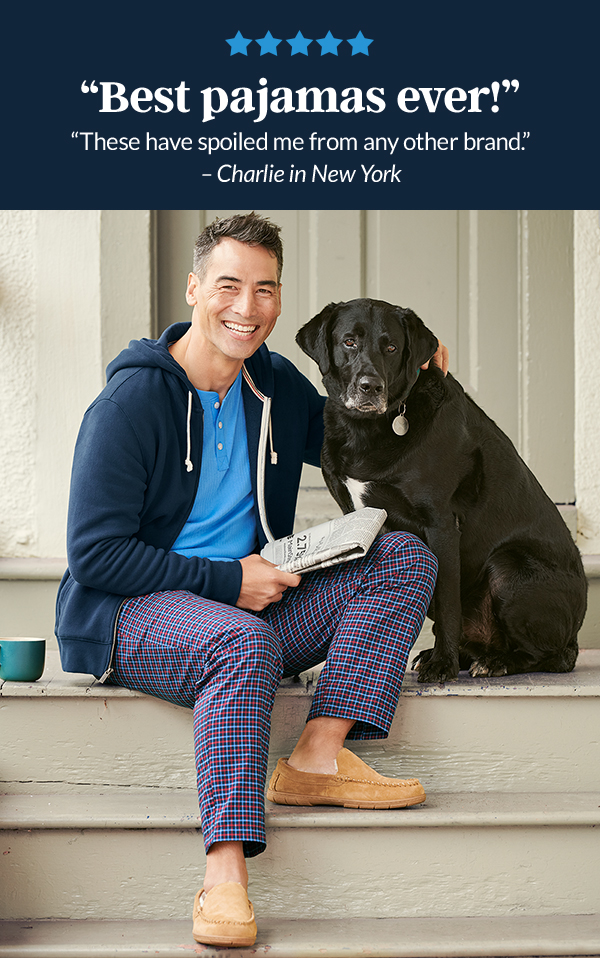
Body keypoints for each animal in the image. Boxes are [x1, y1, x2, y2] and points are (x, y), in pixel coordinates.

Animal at [296, 297, 588, 683]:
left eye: (391, 347)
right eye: (349, 342)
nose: (370, 386)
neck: (367, 428)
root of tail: (576, 631)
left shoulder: (441, 523)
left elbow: (447, 599)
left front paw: (442, 665)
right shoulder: (359, 518)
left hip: (510, 567)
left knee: (549, 655)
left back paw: (495, 661)